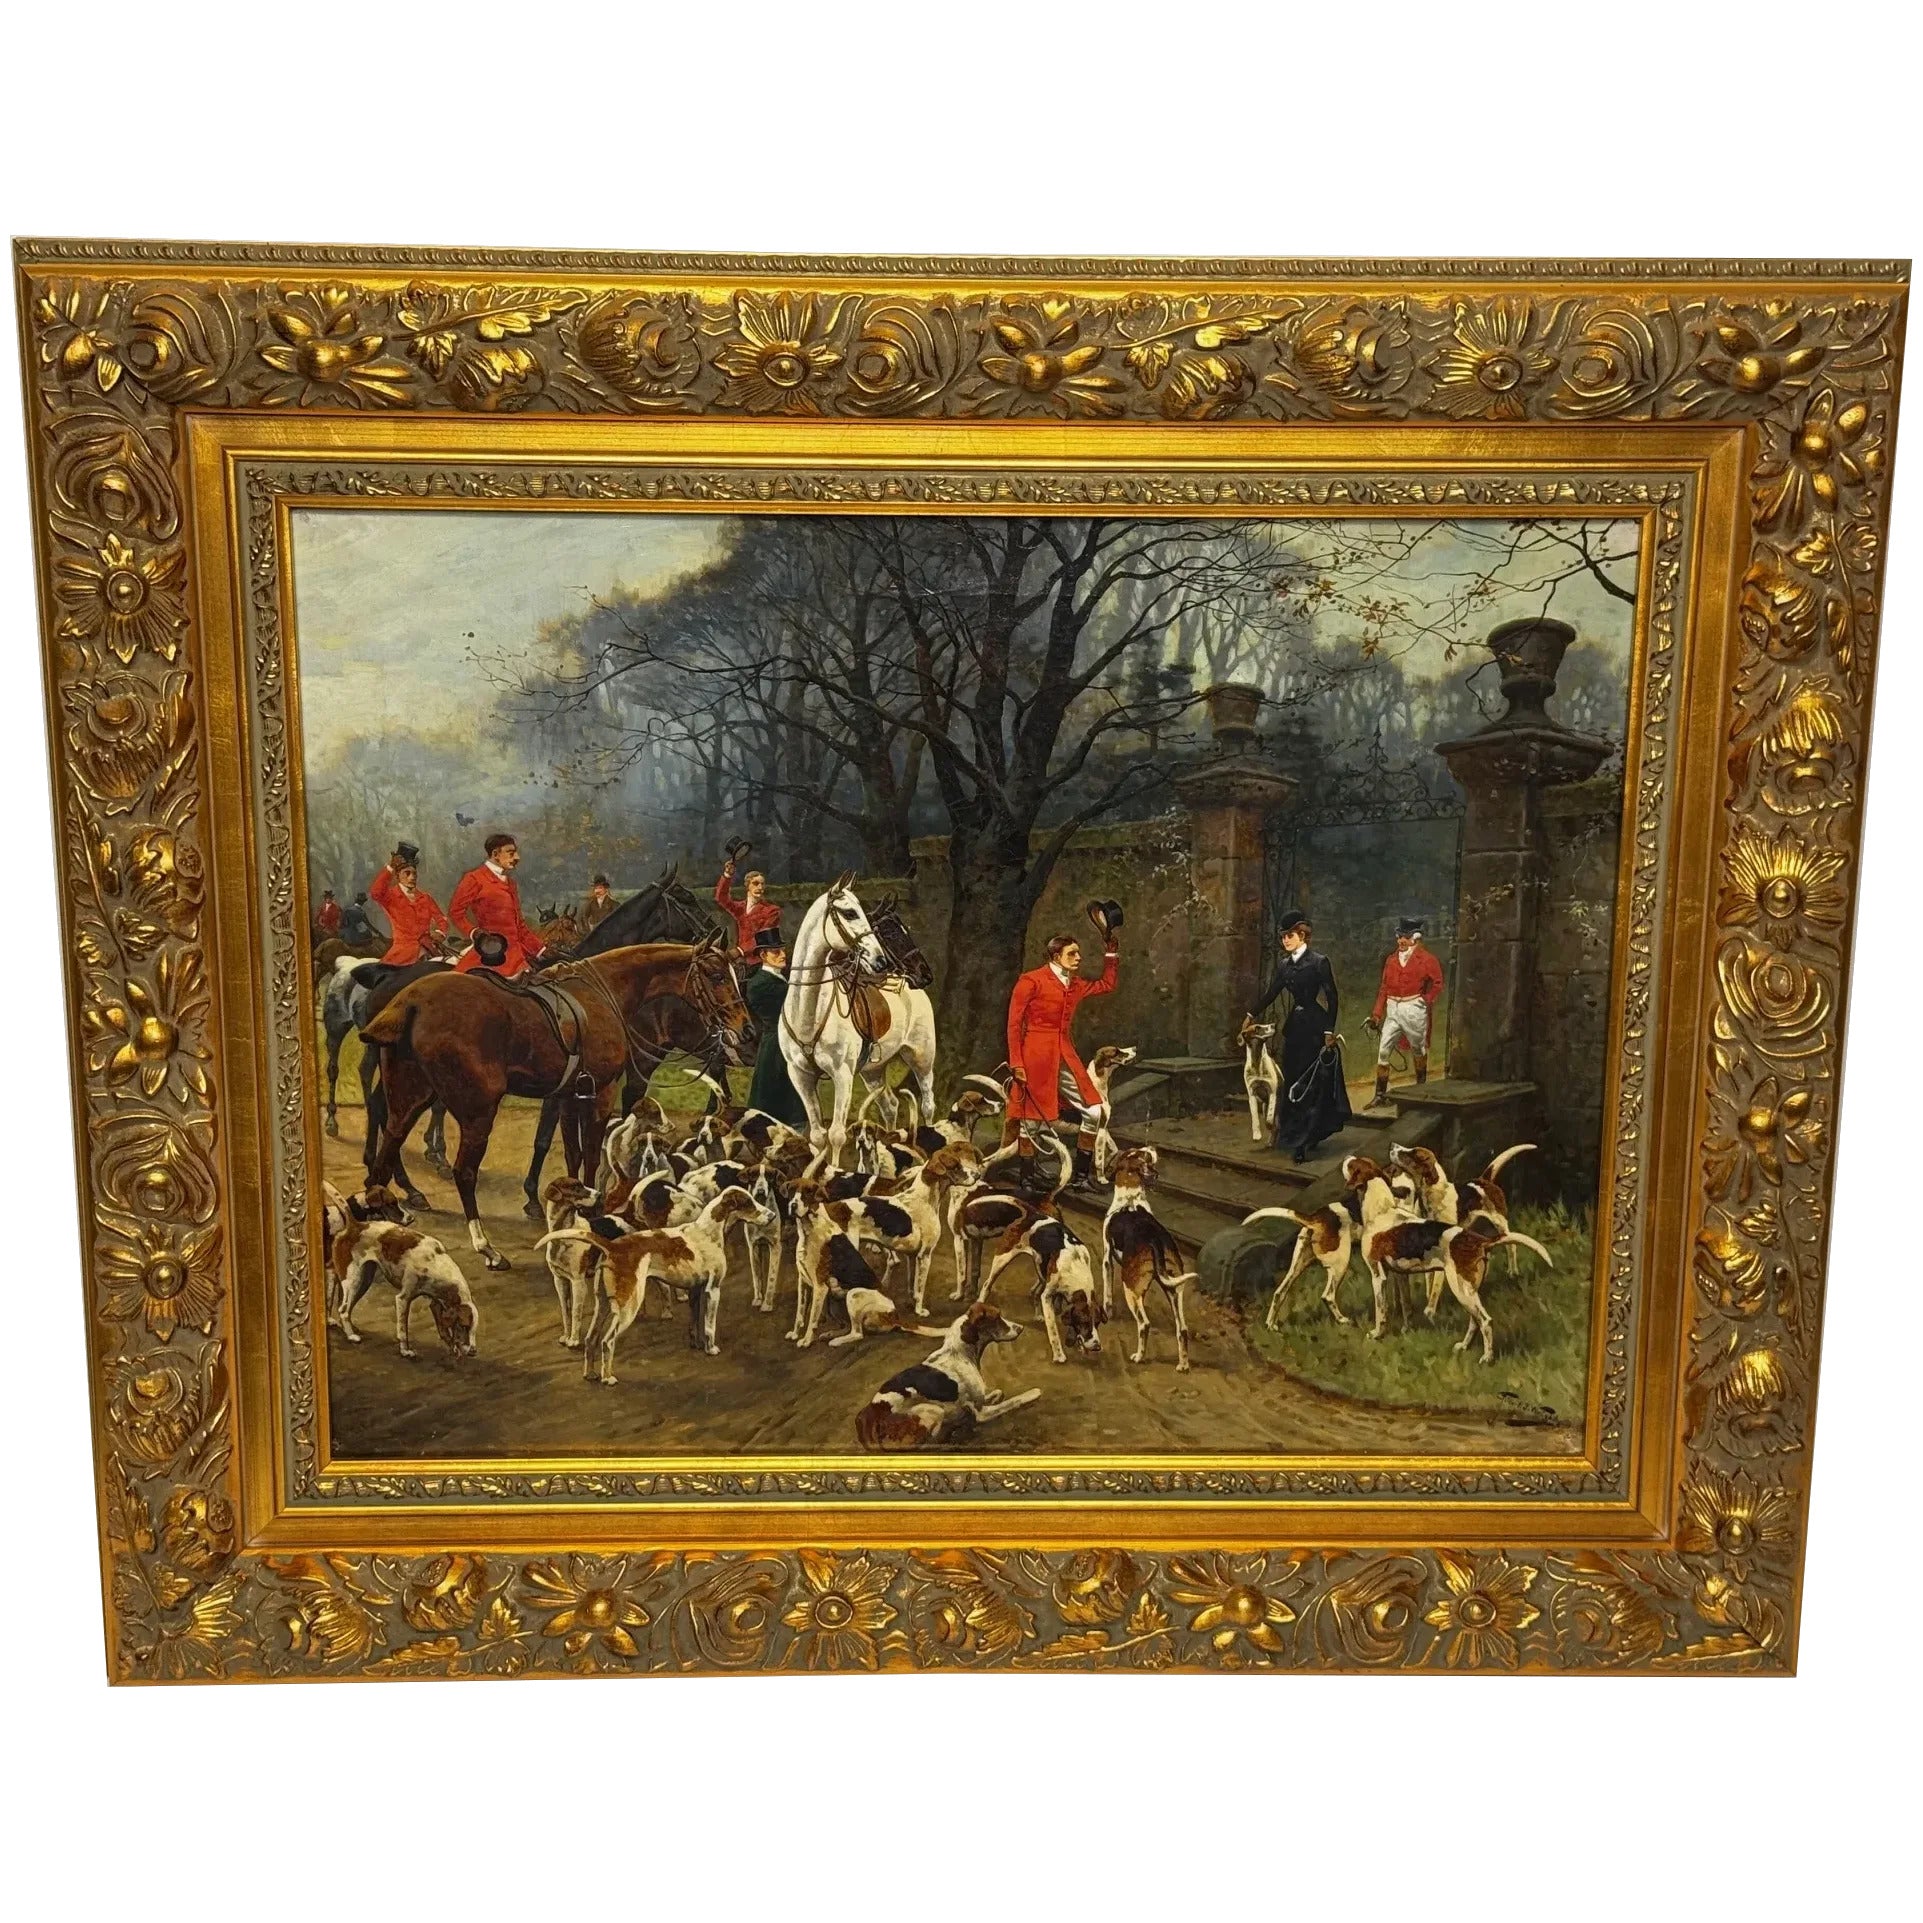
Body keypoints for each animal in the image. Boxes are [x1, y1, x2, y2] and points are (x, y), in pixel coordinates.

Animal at [327, 1218, 479, 1359]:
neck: (436, 1264)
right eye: (464, 1326)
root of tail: (355, 1224)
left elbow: (443, 1330)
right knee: (343, 1310)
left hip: (364, 1281)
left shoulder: (436, 1303)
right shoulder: (403, 1299)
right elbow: (403, 1331)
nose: (473, 1351)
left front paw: (453, 1347)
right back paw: (351, 1335)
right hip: (354, 1281)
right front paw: (405, 1351)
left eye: (474, 1329)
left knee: (345, 1307)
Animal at [360, 937, 752, 1271]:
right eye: (717, 975)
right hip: (477, 1112)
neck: (604, 991)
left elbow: (572, 1153)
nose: (745, 1031)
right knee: (463, 1172)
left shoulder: (568, 1097)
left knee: (385, 1156)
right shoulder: (600, 1094)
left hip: (409, 1101)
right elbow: (590, 1152)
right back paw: (486, 1248)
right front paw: (594, 1209)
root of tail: (410, 1002)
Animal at [776, 875, 895, 1164]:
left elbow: (837, 1135)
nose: (880, 960)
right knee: (890, 1106)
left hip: (921, 1059)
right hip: (873, 1070)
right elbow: (818, 1135)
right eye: (849, 913)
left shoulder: (843, 1075)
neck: (808, 1011)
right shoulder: (800, 1075)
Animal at [853, 1303, 1042, 1449]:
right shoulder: (982, 1414)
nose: (1021, 1328)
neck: (958, 1353)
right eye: (997, 1318)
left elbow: (997, 1393)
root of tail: (870, 1416)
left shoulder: (978, 1402)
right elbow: (1014, 1400)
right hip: (932, 1411)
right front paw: (1033, 1393)